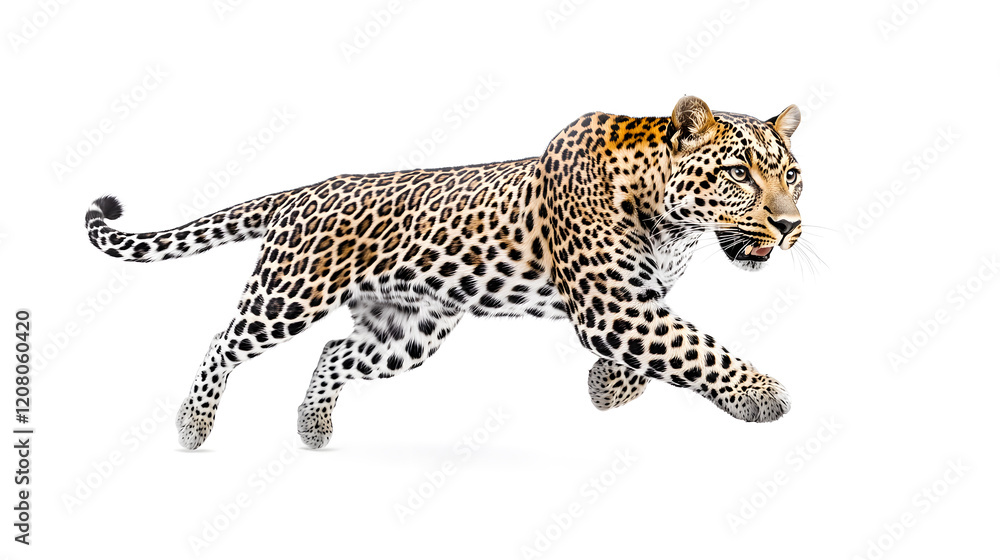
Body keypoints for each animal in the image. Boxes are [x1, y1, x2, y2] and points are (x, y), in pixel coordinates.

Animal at [84, 96, 805, 450]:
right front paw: (764, 395)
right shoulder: (614, 306)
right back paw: (192, 426)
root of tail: (302, 193)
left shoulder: (635, 301)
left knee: (335, 351)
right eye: (739, 174)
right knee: (222, 341)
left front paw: (608, 388)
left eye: (792, 174)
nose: (791, 224)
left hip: (409, 330)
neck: (675, 223)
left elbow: (668, 348)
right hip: (287, 294)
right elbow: (695, 347)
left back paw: (313, 428)